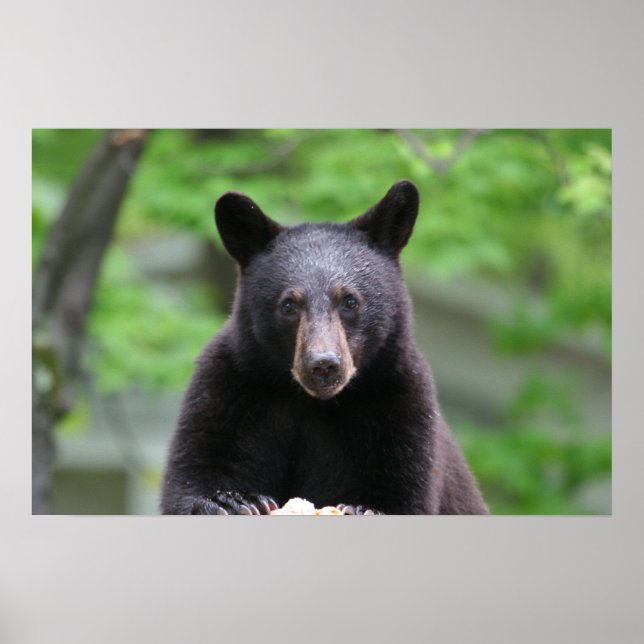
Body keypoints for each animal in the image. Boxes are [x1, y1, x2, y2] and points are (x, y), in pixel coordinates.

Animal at [160, 180, 488, 515]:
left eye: (350, 300)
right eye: (289, 304)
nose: (323, 364)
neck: (311, 402)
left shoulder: (399, 402)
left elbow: (402, 490)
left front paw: (364, 508)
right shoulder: (230, 388)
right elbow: (200, 464)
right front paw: (232, 500)